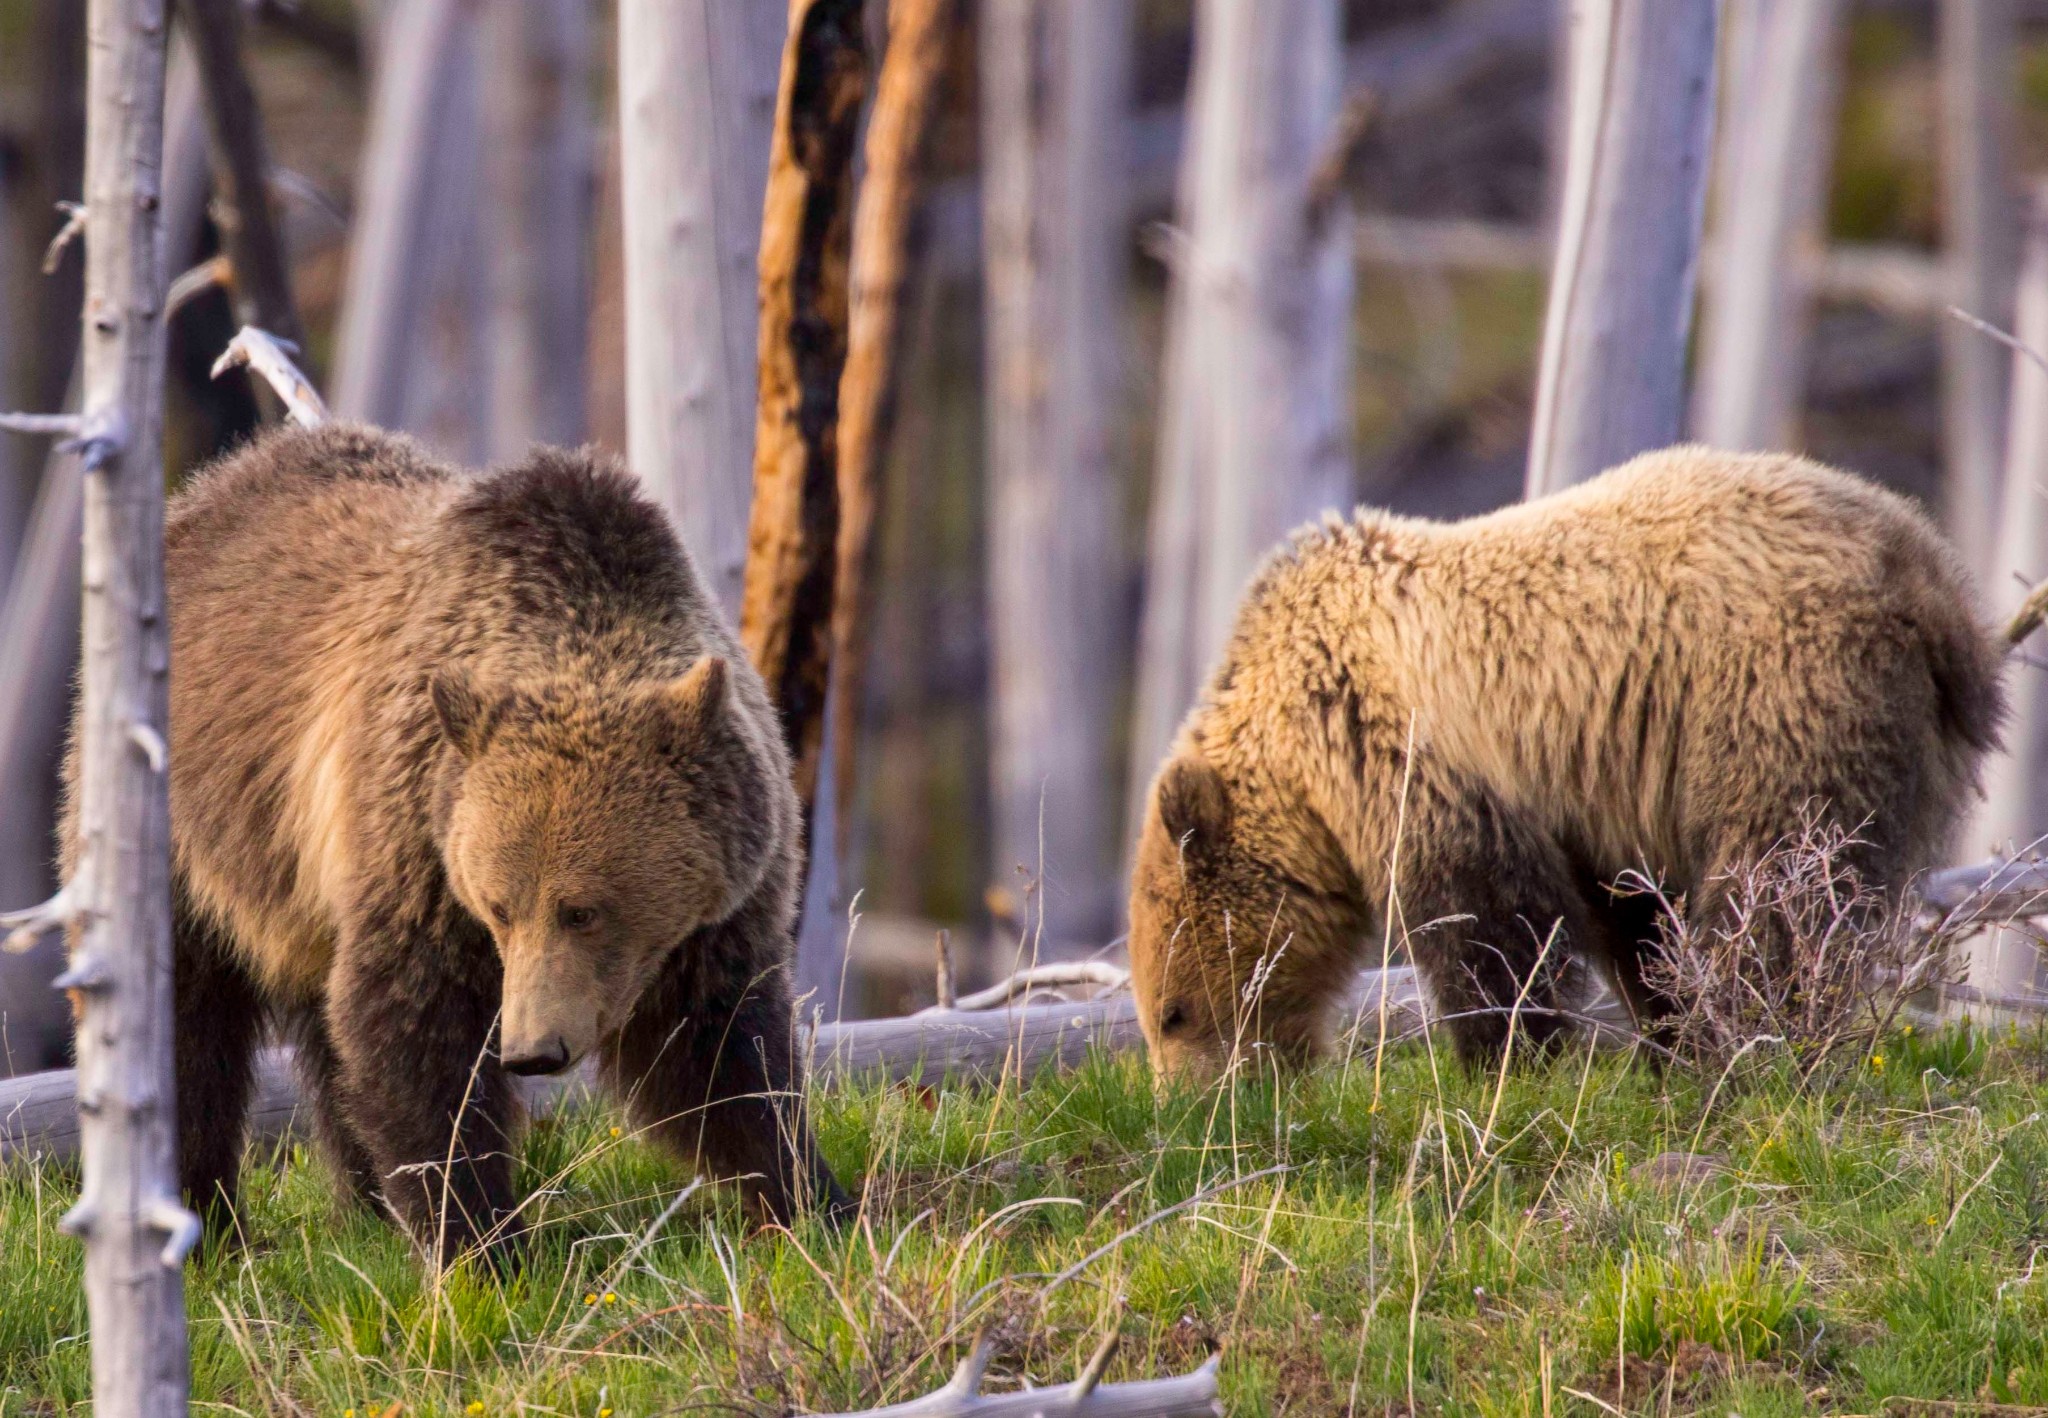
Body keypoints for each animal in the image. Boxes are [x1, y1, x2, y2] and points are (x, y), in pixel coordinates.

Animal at [79, 418, 847, 1254]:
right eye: (501, 905)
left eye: (583, 909)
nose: (533, 1050)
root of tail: (210, 488)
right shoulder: (418, 839)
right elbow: (417, 1034)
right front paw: (479, 1239)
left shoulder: (723, 895)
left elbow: (719, 1050)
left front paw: (807, 1195)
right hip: (189, 824)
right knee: (185, 1020)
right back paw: (203, 1219)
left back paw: (365, 1209)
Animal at [1130, 448, 2007, 1081]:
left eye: (1172, 1012)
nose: (1192, 1102)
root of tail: (1933, 580)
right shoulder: (1600, 802)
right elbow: (1633, 920)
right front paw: (1659, 1030)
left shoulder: (1424, 752)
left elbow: (1489, 926)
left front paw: (1507, 1060)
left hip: (1783, 695)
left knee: (1778, 887)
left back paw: (1750, 1035)